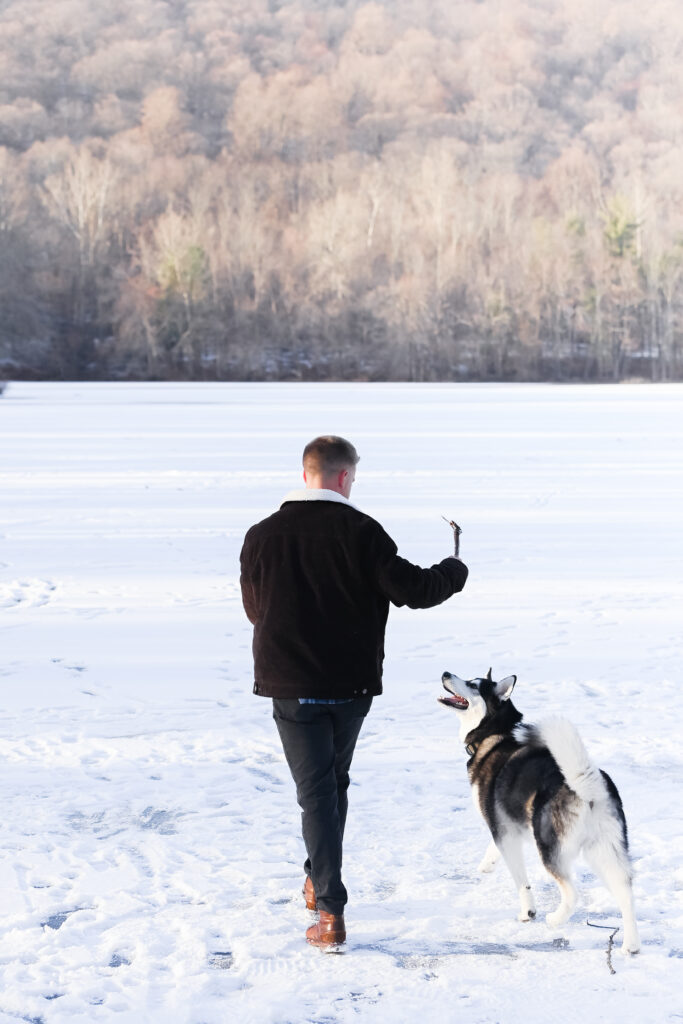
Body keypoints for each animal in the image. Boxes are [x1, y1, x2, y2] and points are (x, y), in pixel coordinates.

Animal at [438, 667, 643, 954]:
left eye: (473, 685)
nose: (446, 673)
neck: (496, 735)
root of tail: (588, 785)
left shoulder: (503, 831)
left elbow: (520, 880)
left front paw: (528, 912)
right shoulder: (505, 827)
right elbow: (493, 848)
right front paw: (487, 864)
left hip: (548, 845)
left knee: (573, 893)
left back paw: (555, 919)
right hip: (605, 850)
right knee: (626, 892)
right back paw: (631, 944)